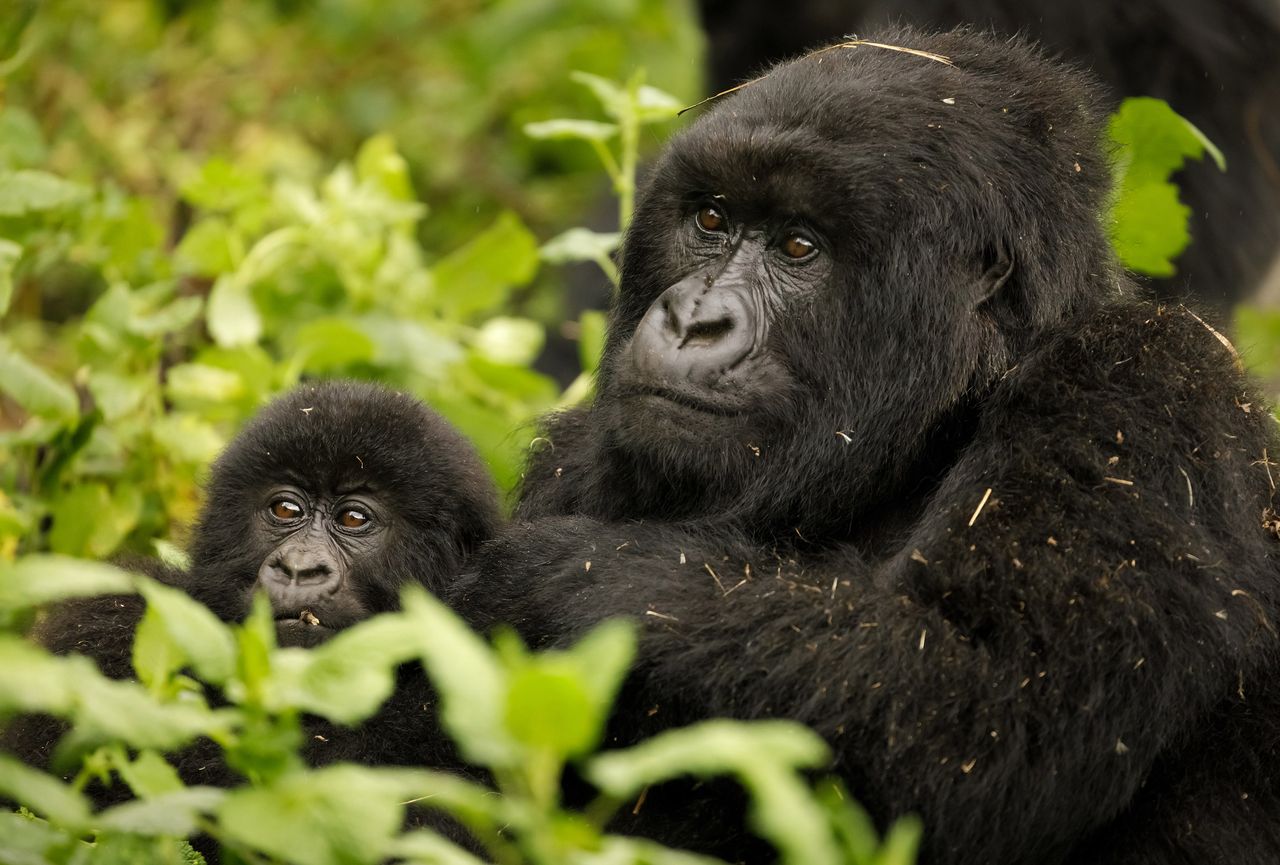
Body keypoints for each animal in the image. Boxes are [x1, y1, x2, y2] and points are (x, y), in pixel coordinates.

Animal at [448, 27, 1280, 865]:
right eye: (711, 220)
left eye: (797, 246)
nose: (692, 321)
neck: (936, 435)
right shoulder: (578, 454)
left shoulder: (1140, 383)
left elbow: (982, 708)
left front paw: (549, 576)